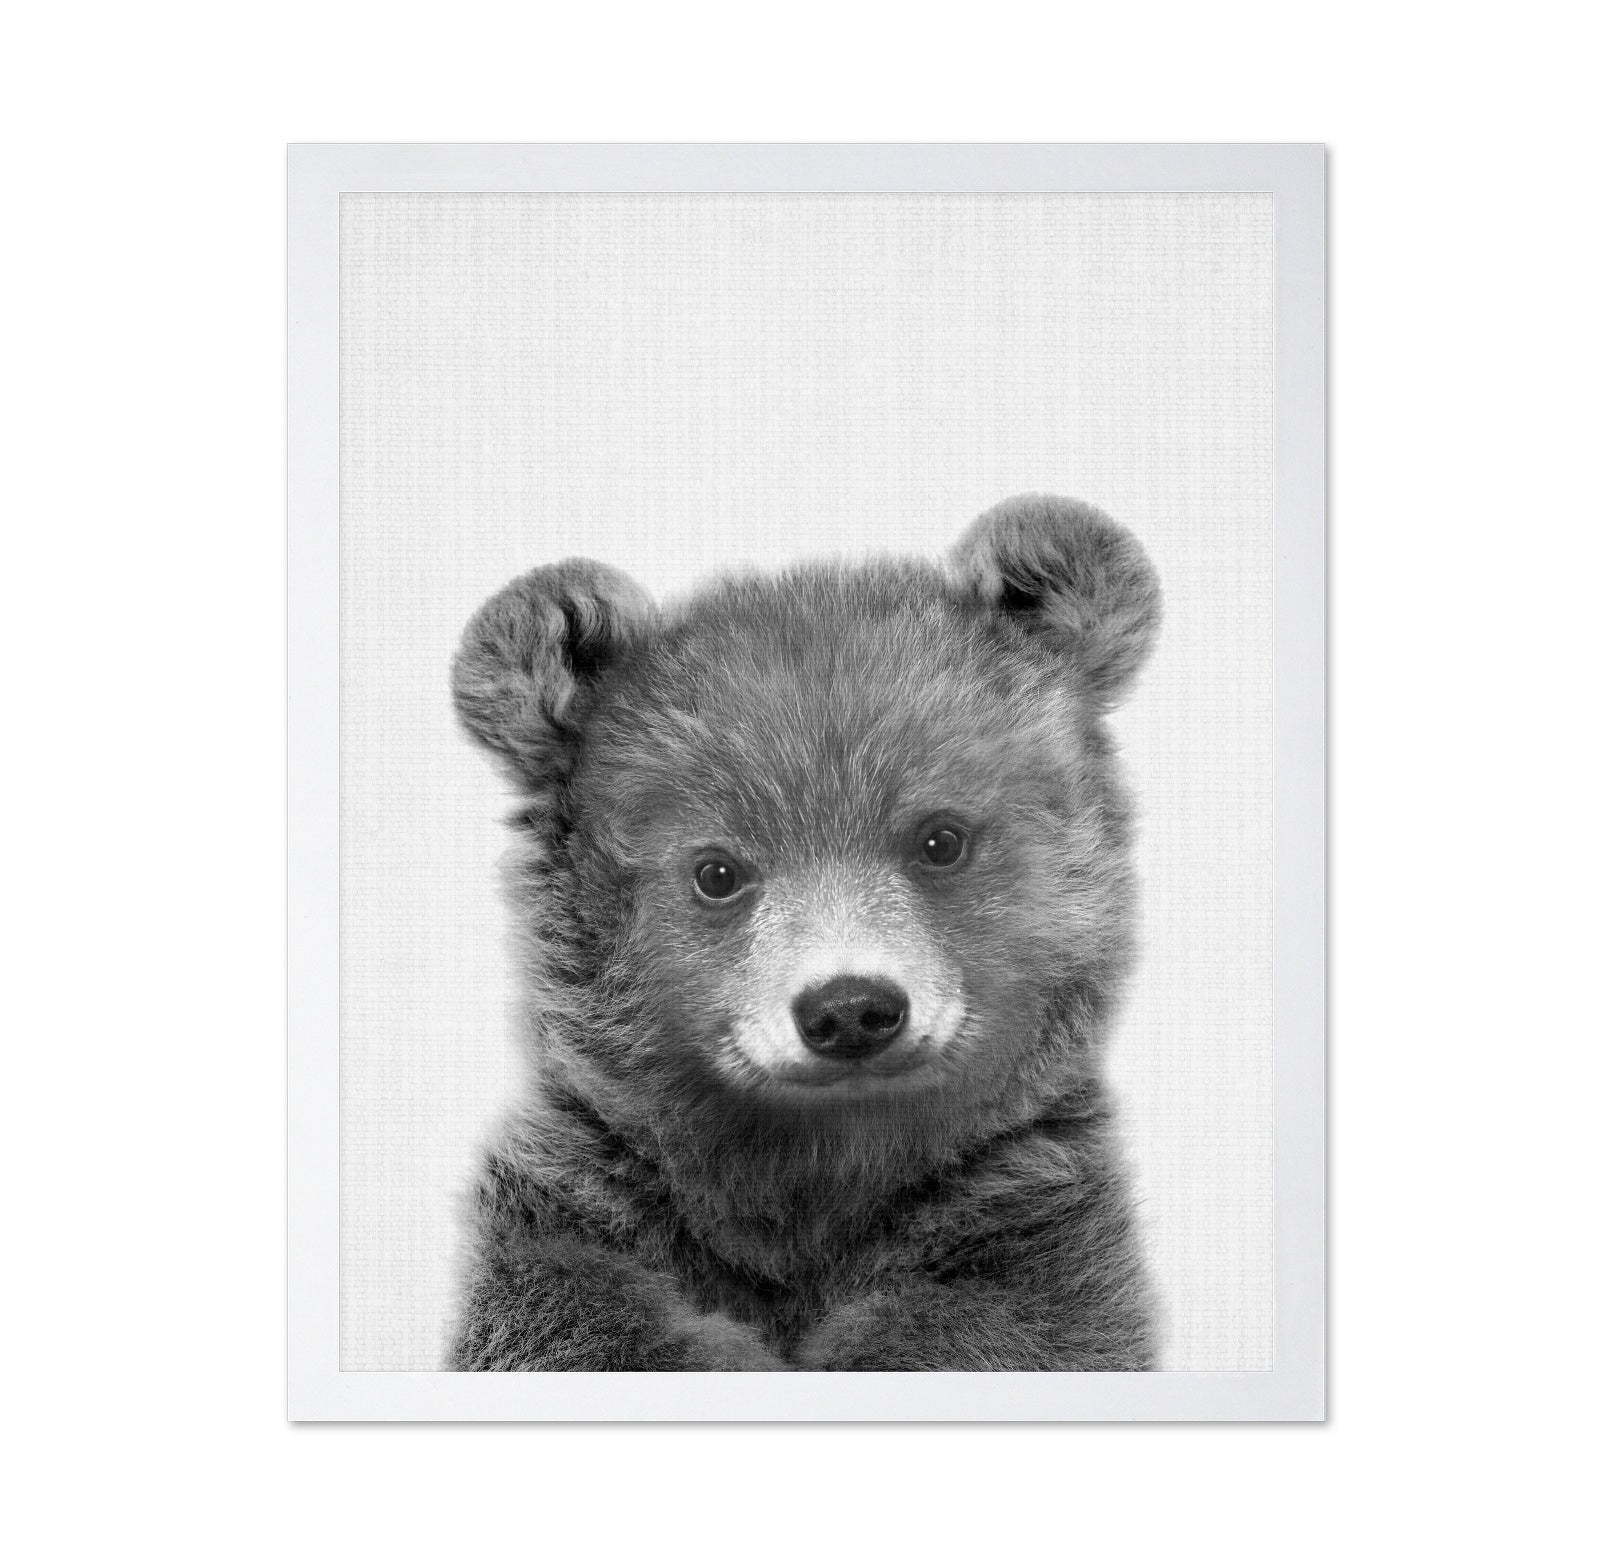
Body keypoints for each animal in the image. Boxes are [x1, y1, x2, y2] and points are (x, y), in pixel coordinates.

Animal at [447, 493, 1162, 1371]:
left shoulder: (1027, 1229)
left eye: (941, 838)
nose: (850, 1009)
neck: (815, 1177)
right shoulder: (585, 1211)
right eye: (717, 870)